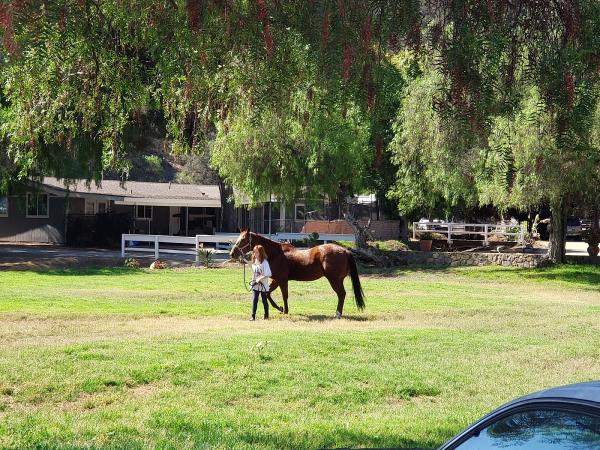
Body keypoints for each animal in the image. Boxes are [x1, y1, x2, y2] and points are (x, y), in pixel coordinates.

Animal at [230, 230, 364, 318]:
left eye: (243, 240)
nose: (232, 253)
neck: (276, 254)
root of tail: (345, 251)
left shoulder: (282, 280)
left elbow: (284, 295)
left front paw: (285, 310)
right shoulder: (275, 280)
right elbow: (268, 294)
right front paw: (280, 308)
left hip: (334, 280)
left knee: (341, 294)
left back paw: (337, 314)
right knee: (342, 294)